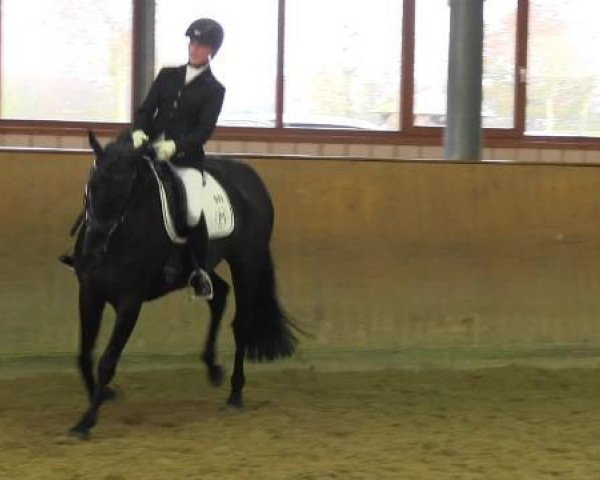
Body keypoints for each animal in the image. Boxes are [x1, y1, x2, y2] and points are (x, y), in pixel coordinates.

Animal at [69, 132, 298, 438]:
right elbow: (84, 353)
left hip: (246, 262)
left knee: (242, 323)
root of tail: (252, 177)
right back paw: (213, 368)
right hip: (201, 266)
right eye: (91, 187)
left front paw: (86, 420)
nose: (93, 250)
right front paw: (103, 395)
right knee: (219, 294)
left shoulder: (130, 302)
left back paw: (235, 394)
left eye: (124, 191)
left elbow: (107, 361)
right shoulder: (90, 293)